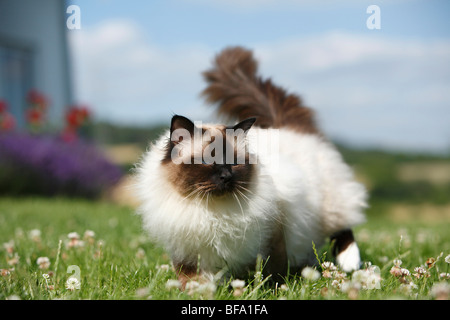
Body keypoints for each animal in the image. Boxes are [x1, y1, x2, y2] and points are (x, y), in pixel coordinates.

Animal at [134, 45, 366, 288]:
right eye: (206, 161)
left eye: (234, 163)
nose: (226, 176)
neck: (212, 211)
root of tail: (287, 128)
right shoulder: (187, 250)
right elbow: (192, 279)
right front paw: (200, 291)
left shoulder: (272, 235)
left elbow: (273, 273)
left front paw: (274, 289)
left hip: (328, 205)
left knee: (343, 227)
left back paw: (349, 264)